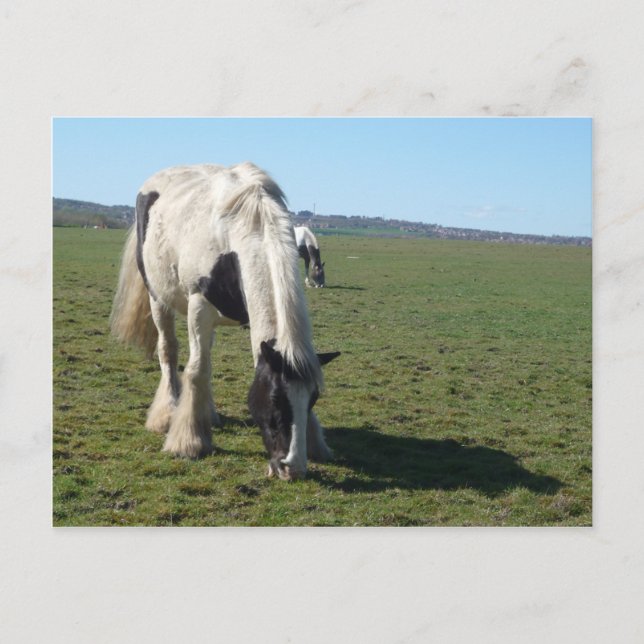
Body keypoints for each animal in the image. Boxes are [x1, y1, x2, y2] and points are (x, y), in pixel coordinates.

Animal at [110, 162, 340, 480]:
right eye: (274, 399)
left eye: (313, 399)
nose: (290, 467)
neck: (244, 230)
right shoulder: (199, 308)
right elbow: (195, 370)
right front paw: (189, 441)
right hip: (158, 298)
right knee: (169, 351)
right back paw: (167, 413)